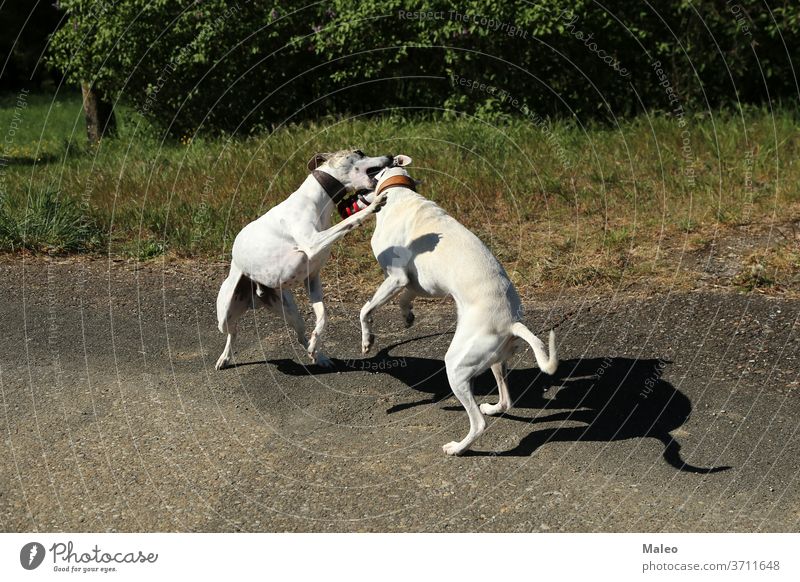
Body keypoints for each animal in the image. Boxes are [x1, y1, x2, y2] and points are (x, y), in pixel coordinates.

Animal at [214, 151, 398, 370]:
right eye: (359, 152)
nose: (390, 155)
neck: (315, 199)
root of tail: (256, 294)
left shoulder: (312, 278)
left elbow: (323, 317)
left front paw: (316, 341)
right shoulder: (312, 243)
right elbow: (348, 221)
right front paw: (373, 205)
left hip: (289, 310)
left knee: (299, 334)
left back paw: (317, 355)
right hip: (225, 315)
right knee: (232, 332)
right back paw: (224, 357)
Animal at [360, 162, 556, 458]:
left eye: (372, 173)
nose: (359, 192)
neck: (401, 194)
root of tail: (511, 322)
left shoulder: (396, 277)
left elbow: (365, 310)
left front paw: (367, 340)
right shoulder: (420, 284)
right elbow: (405, 298)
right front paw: (407, 316)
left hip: (456, 366)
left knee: (478, 423)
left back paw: (458, 448)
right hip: (495, 361)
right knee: (506, 400)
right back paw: (493, 407)